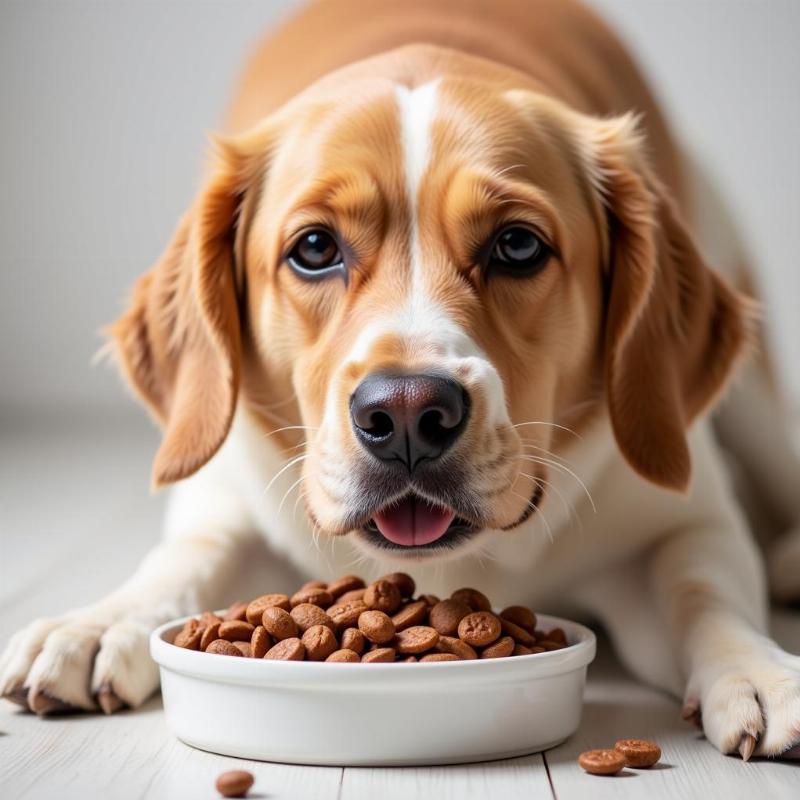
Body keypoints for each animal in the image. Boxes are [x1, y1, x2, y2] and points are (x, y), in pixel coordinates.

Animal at [1, 0, 800, 760]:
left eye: (517, 245)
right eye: (314, 248)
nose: (410, 414)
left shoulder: (680, 523)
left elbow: (703, 591)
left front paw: (759, 670)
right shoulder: (227, 494)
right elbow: (184, 561)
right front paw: (98, 624)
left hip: (758, 399)